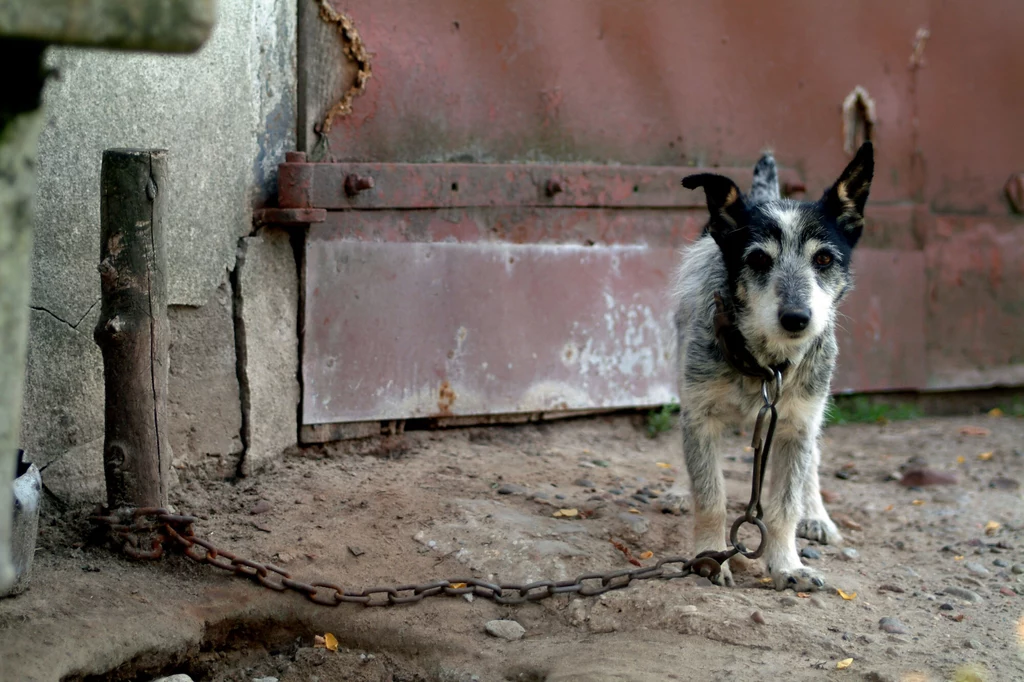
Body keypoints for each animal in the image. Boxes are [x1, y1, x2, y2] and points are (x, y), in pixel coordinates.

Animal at [663, 140, 880, 585]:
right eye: (759, 260)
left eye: (825, 260)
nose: (797, 318)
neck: (764, 363)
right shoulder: (700, 414)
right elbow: (709, 494)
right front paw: (710, 556)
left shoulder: (795, 422)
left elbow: (784, 505)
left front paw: (786, 564)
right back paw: (678, 489)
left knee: (812, 460)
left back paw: (816, 515)